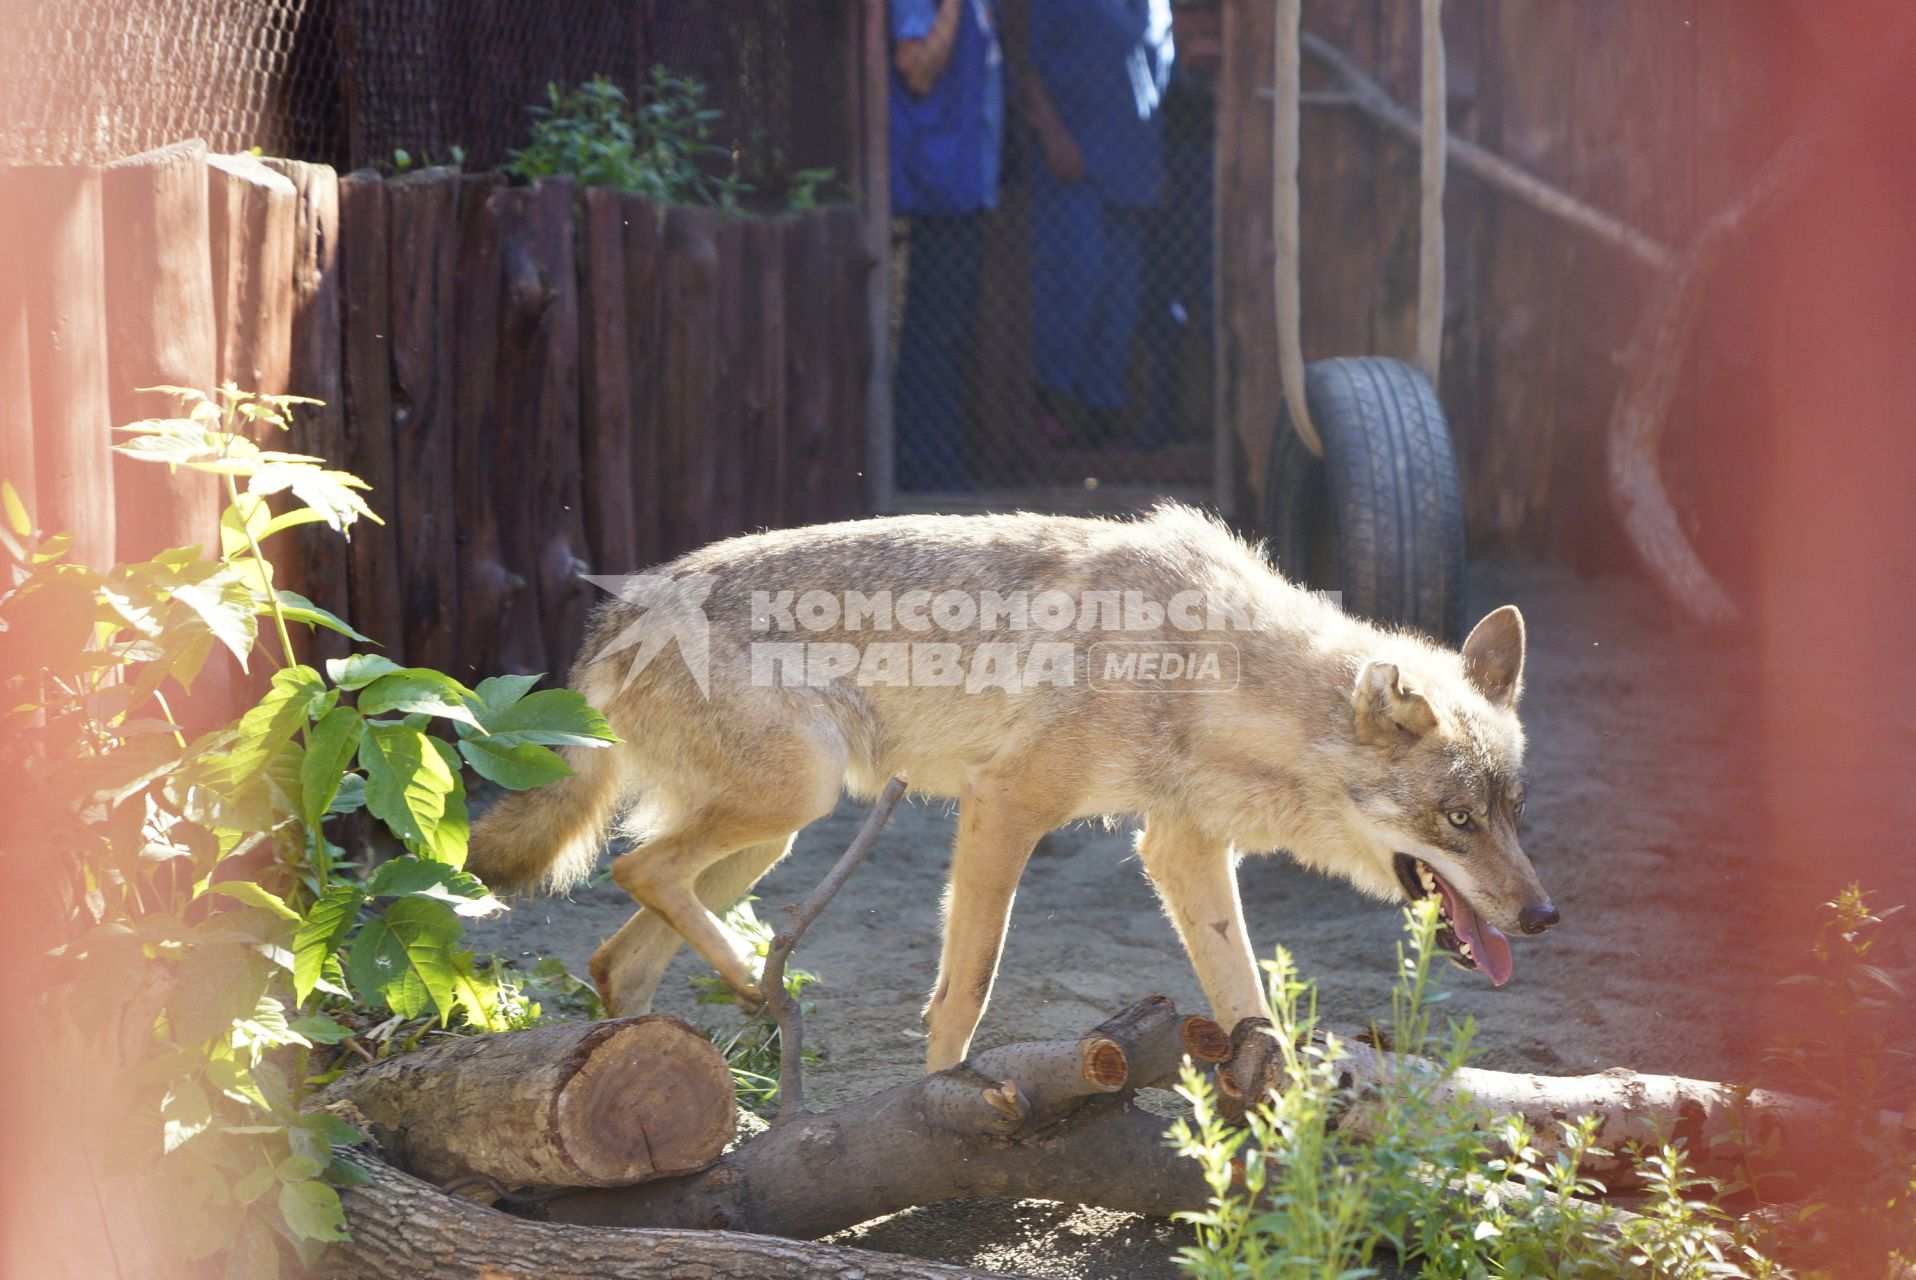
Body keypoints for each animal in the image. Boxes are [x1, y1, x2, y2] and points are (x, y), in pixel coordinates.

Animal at [463, 498, 1555, 1073]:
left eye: (1511, 812)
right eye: (1457, 819)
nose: (1543, 916)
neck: (1206, 672)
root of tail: (615, 621)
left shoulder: (1181, 847)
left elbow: (1248, 1000)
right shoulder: (1005, 807)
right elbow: (967, 994)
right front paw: (944, 1127)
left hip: (775, 833)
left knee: (618, 951)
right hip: (796, 803)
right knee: (639, 872)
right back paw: (744, 990)